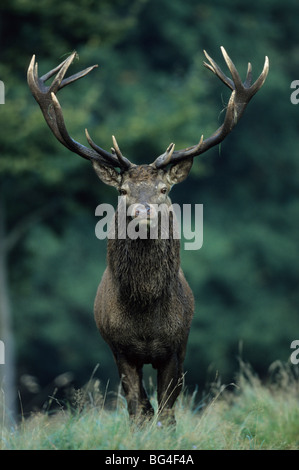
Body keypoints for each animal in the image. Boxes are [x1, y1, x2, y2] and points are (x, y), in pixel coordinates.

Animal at [27, 47, 270, 426]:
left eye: (163, 189)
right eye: (123, 190)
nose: (142, 214)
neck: (144, 320)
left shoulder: (175, 347)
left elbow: (167, 411)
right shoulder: (120, 350)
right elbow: (137, 409)